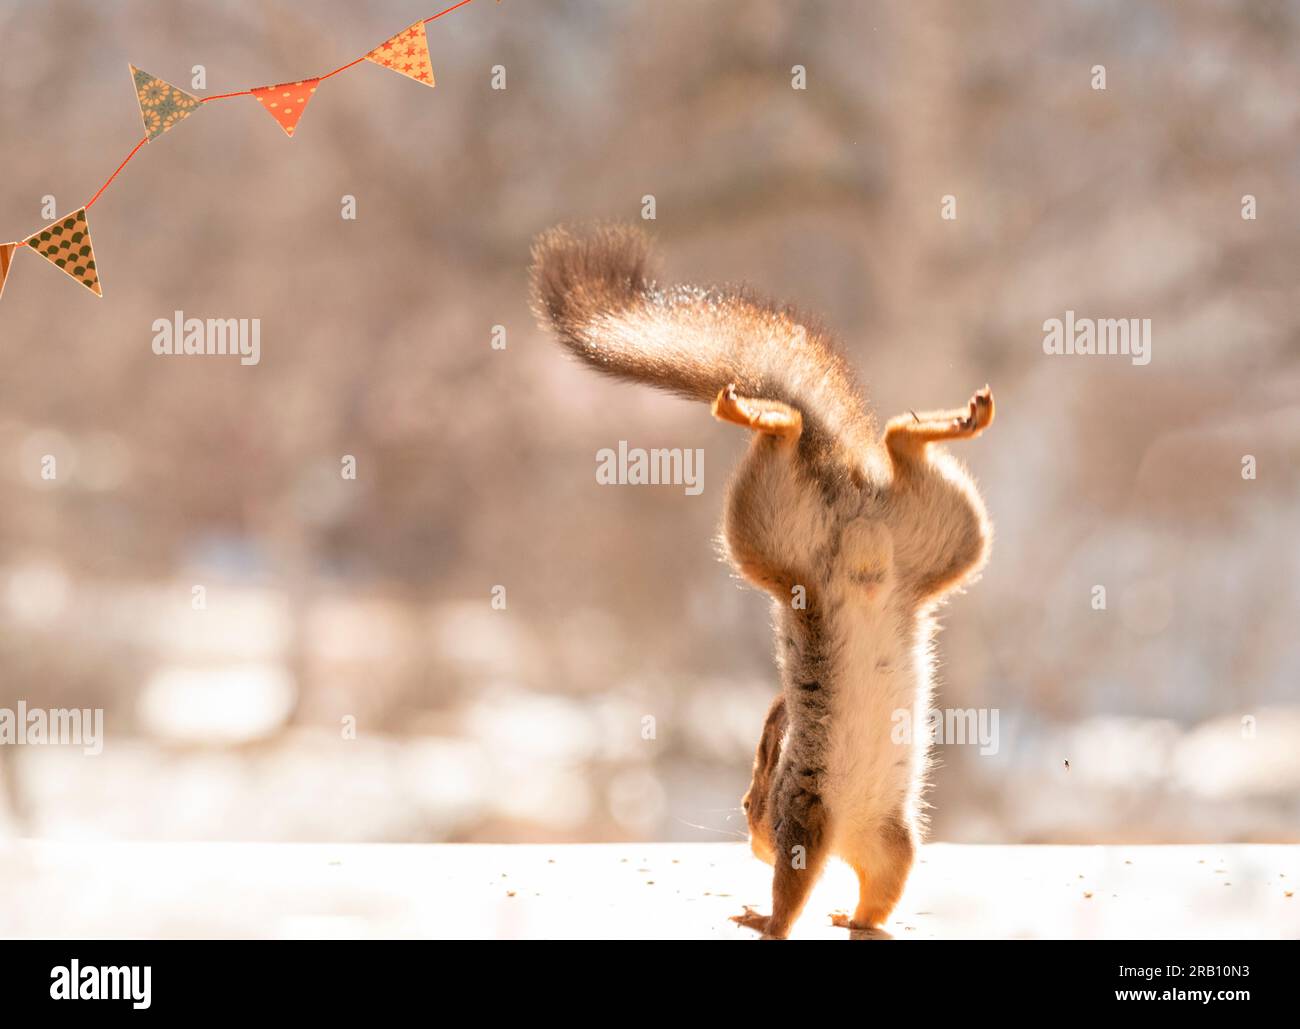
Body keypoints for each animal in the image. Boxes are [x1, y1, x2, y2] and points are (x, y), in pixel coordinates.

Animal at [530, 224, 994, 939]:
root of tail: (850, 494)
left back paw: (758, 412)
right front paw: (854, 916)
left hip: (767, 528)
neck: (849, 829)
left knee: (815, 435)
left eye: (756, 798)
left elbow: (797, 887)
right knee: (896, 446)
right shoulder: (887, 840)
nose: (750, 832)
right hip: (941, 530)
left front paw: (766, 920)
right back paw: (945, 422)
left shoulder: (807, 815)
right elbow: (884, 886)